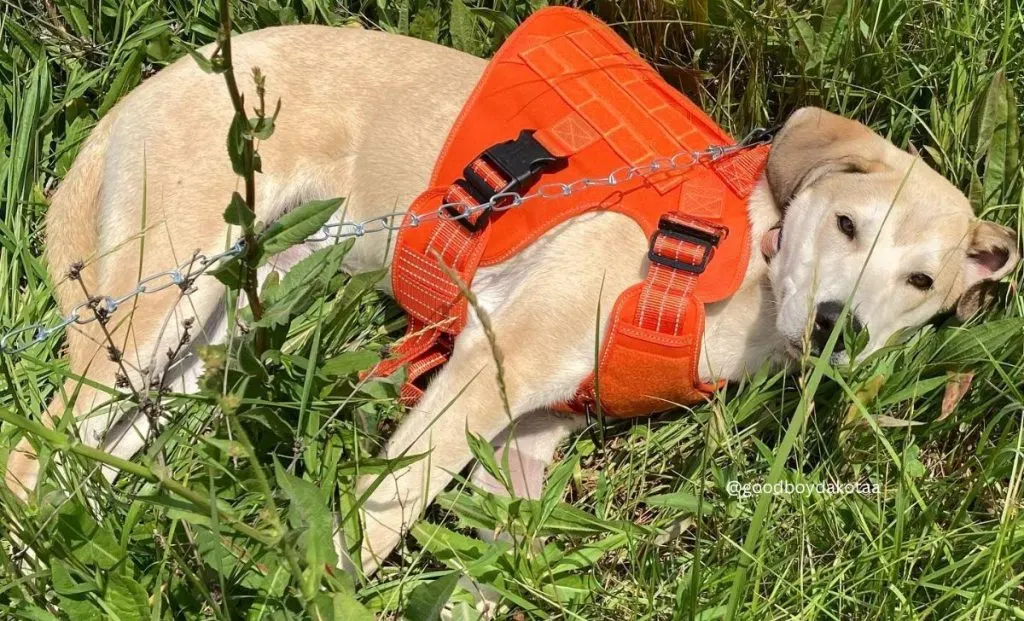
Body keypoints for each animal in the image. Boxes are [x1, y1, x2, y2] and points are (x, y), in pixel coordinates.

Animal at [4, 26, 1019, 577]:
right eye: (848, 223)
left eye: (921, 282)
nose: (838, 328)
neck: (738, 255)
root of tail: (160, 79)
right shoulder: (493, 365)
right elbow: (379, 520)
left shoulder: (529, 440)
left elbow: (489, 574)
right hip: (155, 296)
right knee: (33, 448)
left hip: (210, 331)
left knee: (100, 458)